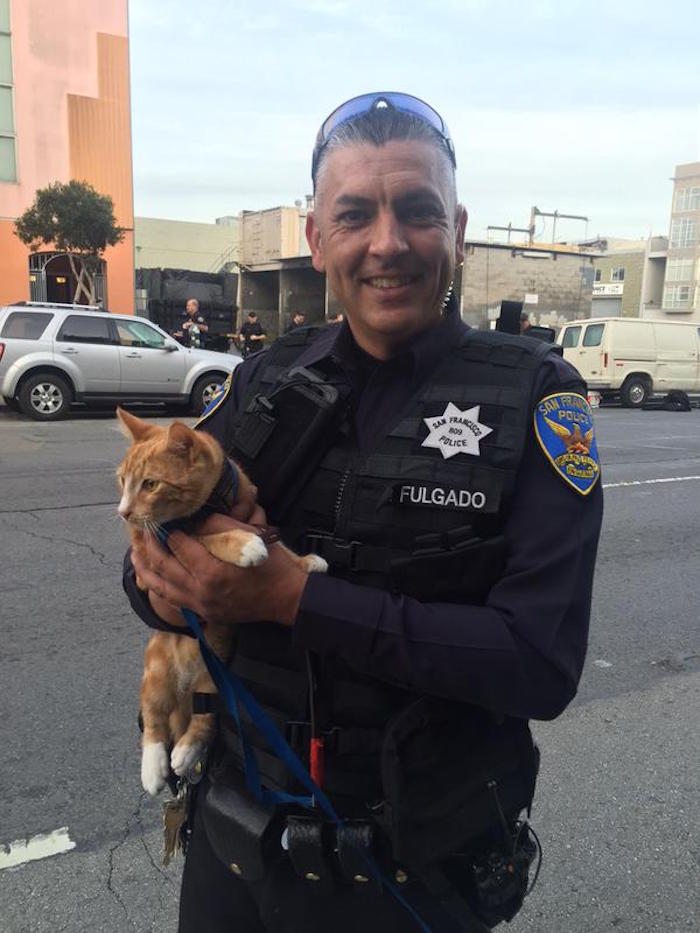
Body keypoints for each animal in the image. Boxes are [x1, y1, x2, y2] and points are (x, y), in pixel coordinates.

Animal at [117, 408, 328, 792]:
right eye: (122, 481)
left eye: (150, 484)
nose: (123, 512)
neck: (211, 504)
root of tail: (185, 685)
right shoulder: (157, 550)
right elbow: (208, 540)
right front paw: (242, 544)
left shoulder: (255, 518)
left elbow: (276, 542)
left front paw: (305, 561)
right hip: (156, 672)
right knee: (153, 719)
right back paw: (154, 768)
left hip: (216, 677)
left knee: (206, 717)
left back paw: (187, 752)